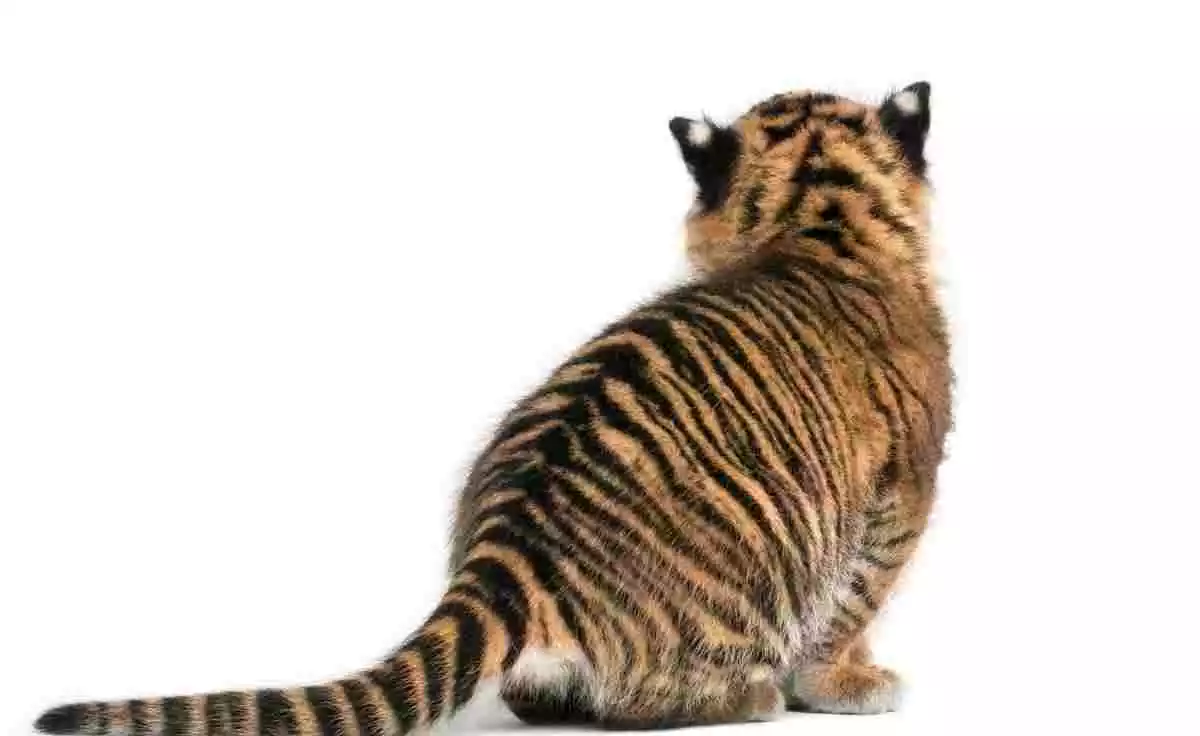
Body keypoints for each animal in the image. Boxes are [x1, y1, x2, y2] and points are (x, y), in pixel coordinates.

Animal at [34, 81, 952, 735]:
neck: (820, 227)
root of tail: (508, 551)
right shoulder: (900, 493)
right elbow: (858, 600)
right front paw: (849, 682)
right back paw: (749, 695)